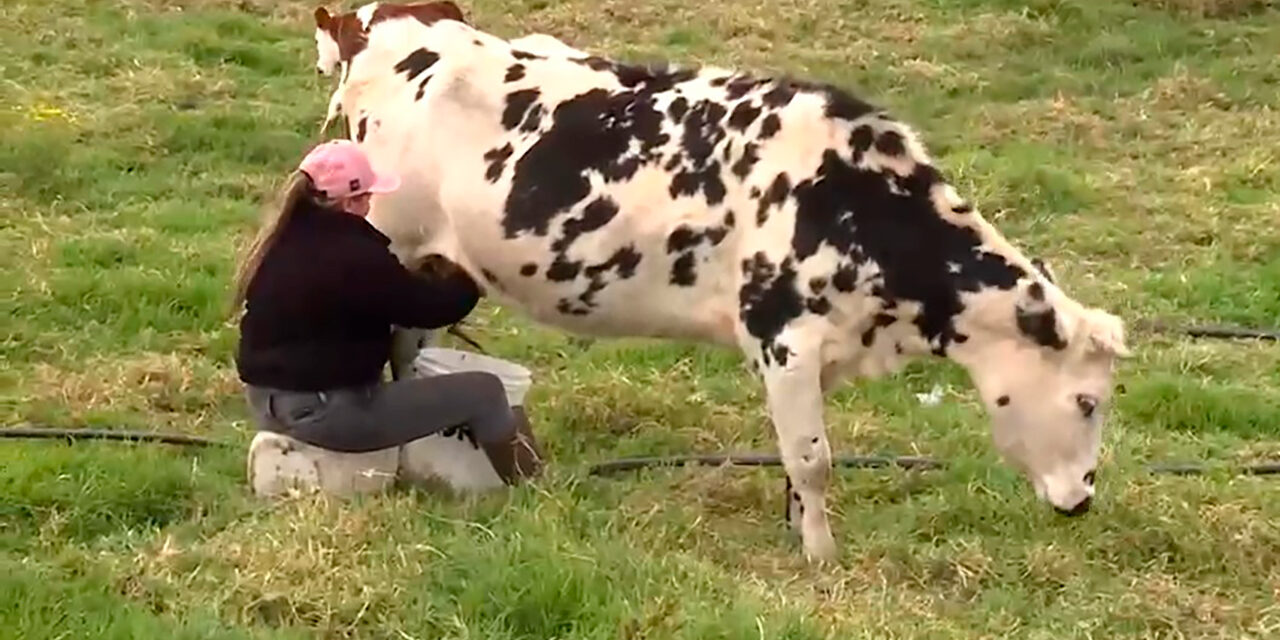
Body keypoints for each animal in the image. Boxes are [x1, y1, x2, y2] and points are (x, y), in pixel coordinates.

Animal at [309, 6, 1131, 565]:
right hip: (390, 238)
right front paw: (822, 559)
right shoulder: (782, 336)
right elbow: (813, 457)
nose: (1083, 501)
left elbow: (799, 458)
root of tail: (391, 26)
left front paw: (799, 529)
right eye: (1087, 401)